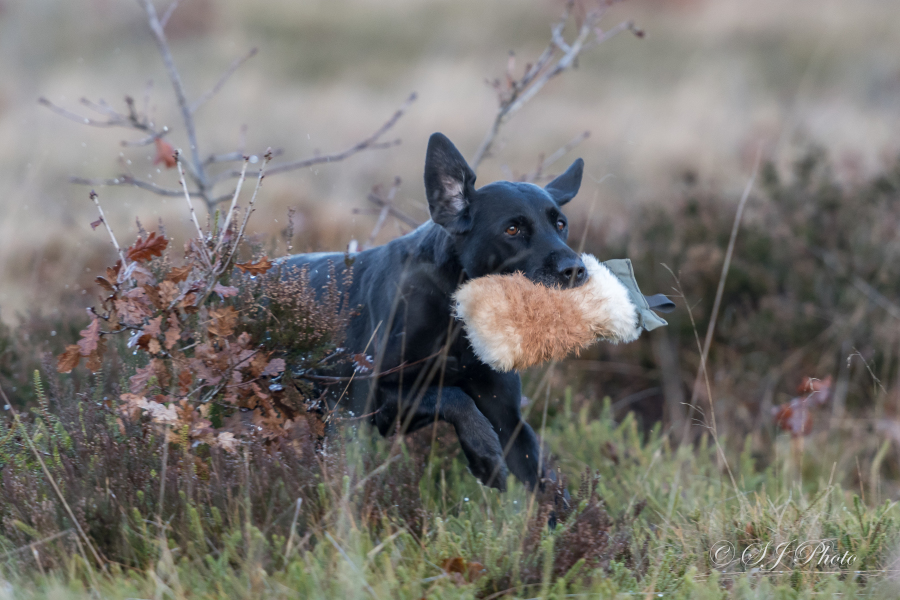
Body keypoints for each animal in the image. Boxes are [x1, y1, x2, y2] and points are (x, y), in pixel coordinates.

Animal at [284, 134, 592, 490]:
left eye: (561, 224)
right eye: (512, 230)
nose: (576, 270)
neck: (457, 319)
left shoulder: (508, 418)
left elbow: (547, 486)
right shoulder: (369, 396)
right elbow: (454, 396)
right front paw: (484, 454)